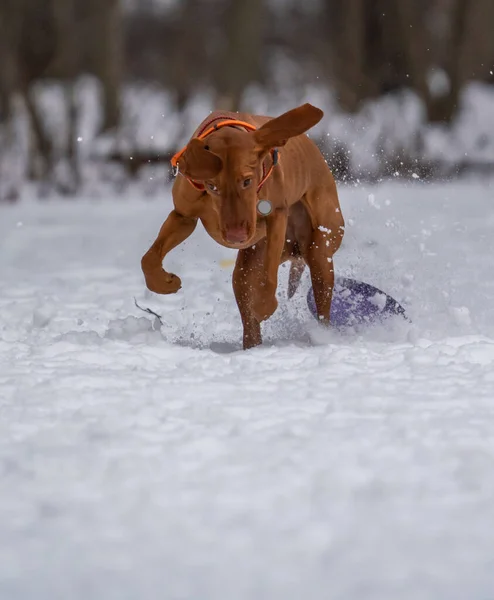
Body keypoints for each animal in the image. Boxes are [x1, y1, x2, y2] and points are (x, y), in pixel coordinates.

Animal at [141, 102, 346, 346]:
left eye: (247, 181)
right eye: (212, 186)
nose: (236, 237)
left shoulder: (277, 215)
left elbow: (269, 278)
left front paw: (265, 306)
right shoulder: (183, 217)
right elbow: (149, 259)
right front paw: (163, 282)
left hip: (320, 249)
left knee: (321, 302)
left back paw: (321, 337)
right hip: (246, 269)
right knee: (247, 306)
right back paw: (252, 347)